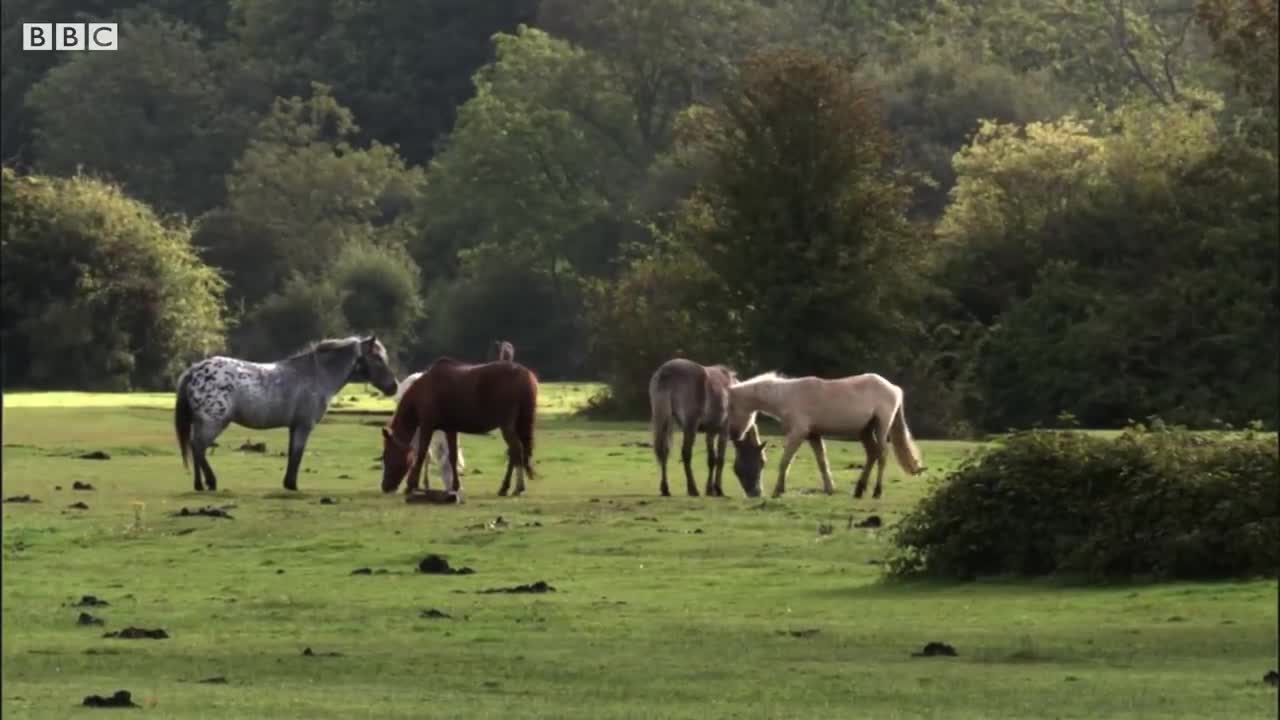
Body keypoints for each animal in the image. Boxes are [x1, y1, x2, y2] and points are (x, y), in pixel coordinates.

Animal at [172, 335, 396, 489]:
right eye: (377, 358)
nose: (394, 387)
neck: (316, 375)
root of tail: (194, 370)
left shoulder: (294, 427)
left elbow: (292, 455)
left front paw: (289, 483)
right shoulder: (304, 426)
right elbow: (297, 454)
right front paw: (292, 485)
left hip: (202, 423)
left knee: (194, 447)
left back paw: (199, 485)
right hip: (214, 423)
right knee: (199, 447)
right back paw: (211, 482)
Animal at [378, 356, 540, 491]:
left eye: (387, 456)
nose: (385, 487)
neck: (424, 390)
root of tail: (526, 374)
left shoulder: (427, 426)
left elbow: (422, 453)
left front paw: (412, 484)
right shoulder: (450, 429)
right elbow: (452, 456)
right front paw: (455, 486)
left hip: (506, 425)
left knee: (516, 450)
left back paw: (516, 487)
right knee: (514, 452)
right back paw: (506, 487)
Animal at [650, 356, 768, 497]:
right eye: (761, 462)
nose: (757, 493)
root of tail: (666, 372)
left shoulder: (711, 432)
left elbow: (711, 460)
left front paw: (710, 489)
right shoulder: (724, 431)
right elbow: (720, 459)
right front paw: (718, 489)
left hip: (667, 422)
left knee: (664, 451)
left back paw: (665, 488)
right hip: (690, 425)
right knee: (686, 454)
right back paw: (692, 489)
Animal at [727, 368, 926, 499]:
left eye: (732, 407)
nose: (734, 434)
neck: (787, 396)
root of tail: (894, 388)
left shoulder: (798, 433)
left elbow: (785, 461)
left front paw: (778, 491)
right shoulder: (813, 435)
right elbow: (822, 462)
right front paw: (830, 489)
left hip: (881, 427)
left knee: (882, 455)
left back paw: (877, 492)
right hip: (865, 431)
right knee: (872, 454)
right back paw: (859, 490)